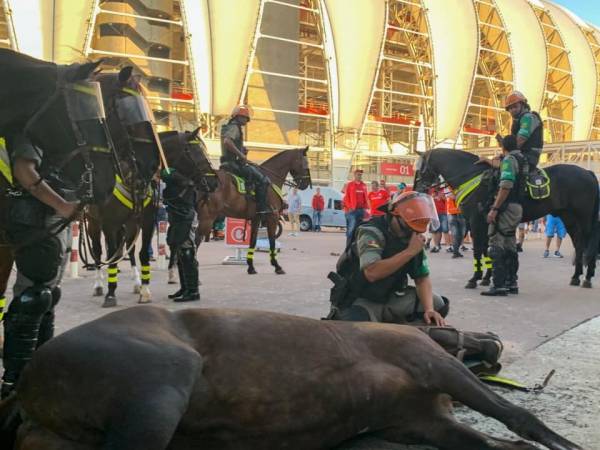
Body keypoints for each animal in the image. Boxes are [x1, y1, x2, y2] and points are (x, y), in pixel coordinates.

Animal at [412, 149, 600, 286]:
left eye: (420, 169)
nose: (416, 190)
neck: (470, 175)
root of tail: (588, 172)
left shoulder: (476, 222)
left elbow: (479, 249)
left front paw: (476, 278)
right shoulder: (485, 223)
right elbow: (487, 249)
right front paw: (486, 278)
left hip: (584, 219)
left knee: (588, 243)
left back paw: (587, 277)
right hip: (569, 218)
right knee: (579, 244)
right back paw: (576, 276)